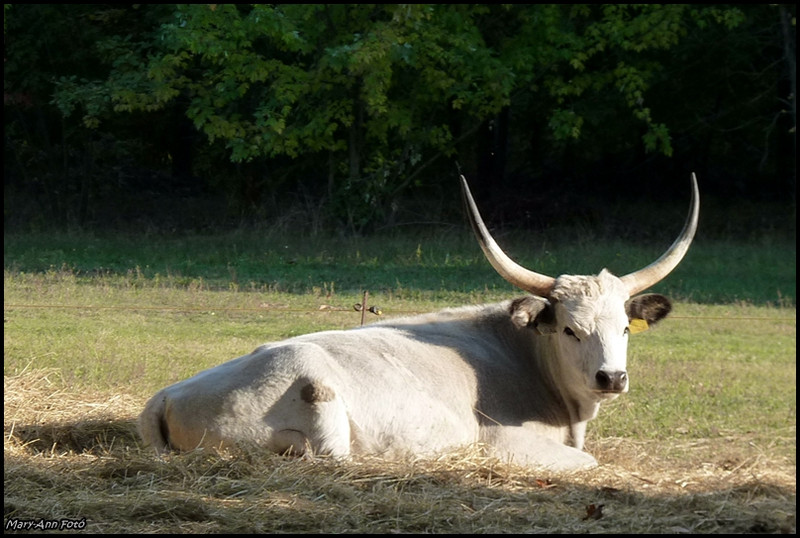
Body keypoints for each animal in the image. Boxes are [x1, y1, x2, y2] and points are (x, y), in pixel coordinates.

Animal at [139, 173, 700, 468]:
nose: (612, 377)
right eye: (570, 329)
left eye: (624, 328)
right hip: (320, 406)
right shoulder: (508, 443)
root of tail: (166, 395)